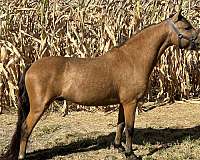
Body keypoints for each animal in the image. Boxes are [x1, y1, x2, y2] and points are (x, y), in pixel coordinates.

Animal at [0, 10, 200, 159]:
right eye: (186, 27)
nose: (198, 42)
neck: (133, 59)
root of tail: (31, 66)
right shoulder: (131, 102)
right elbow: (130, 128)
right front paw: (131, 154)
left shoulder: (122, 103)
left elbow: (120, 124)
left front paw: (119, 147)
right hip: (38, 107)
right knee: (25, 129)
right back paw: (22, 156)